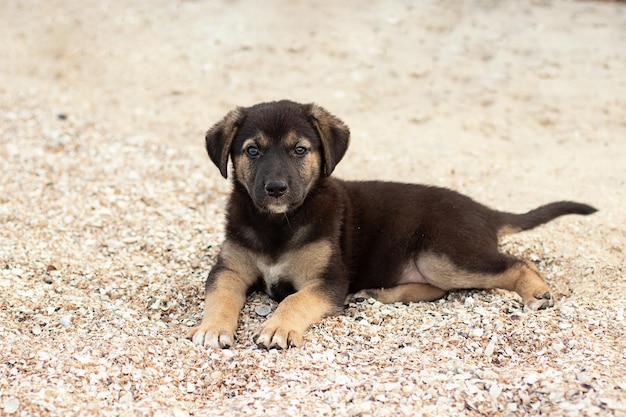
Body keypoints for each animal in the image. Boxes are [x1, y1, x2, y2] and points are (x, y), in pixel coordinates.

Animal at [188, 100, 596, 348]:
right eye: (252, 150)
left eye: (300, 149)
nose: (275, 189)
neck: (277, 224)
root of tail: (483, 210)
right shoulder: (229, 269)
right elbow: (220, 297)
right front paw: (212, 329)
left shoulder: (327, 280)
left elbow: (295, 300)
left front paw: (277, 327)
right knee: (438, 290)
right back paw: (376, 294)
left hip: (443, 254)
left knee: (515, 263)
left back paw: (537, 292)